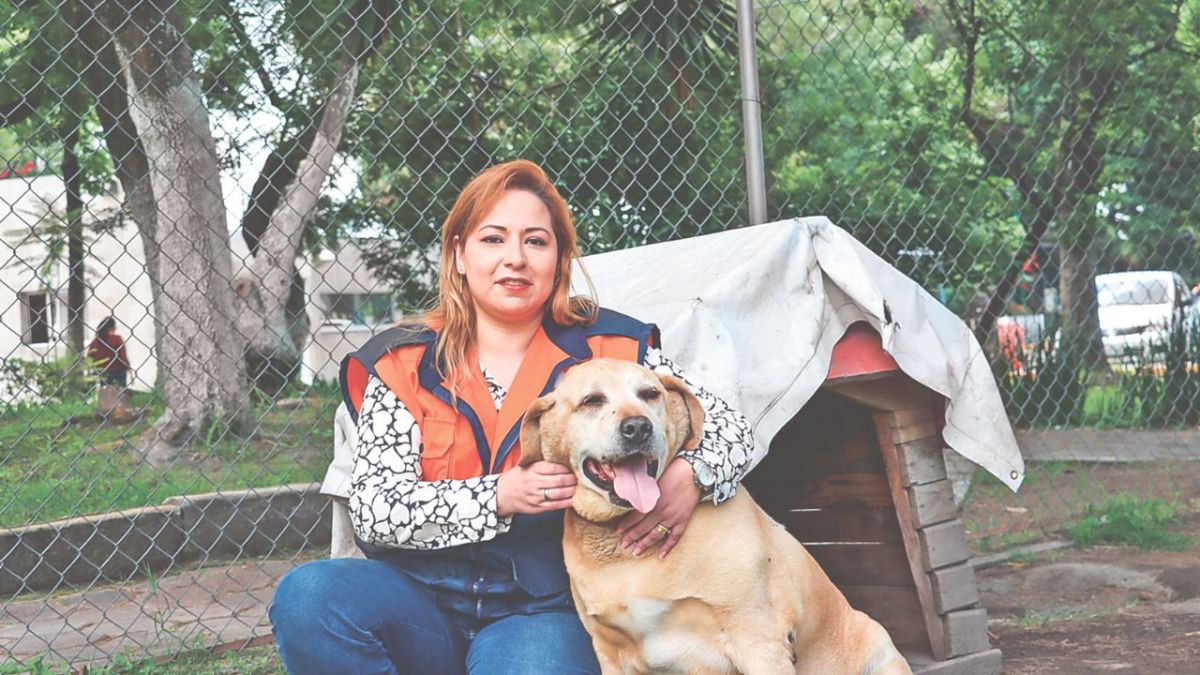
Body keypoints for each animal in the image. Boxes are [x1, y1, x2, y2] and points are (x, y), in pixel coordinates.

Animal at [518, 357, 907, 672]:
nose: (638, 427)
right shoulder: (611, 654)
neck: (627, 555)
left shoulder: (759, 639)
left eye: (649, 394)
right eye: (591, 401)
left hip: (879, 645)